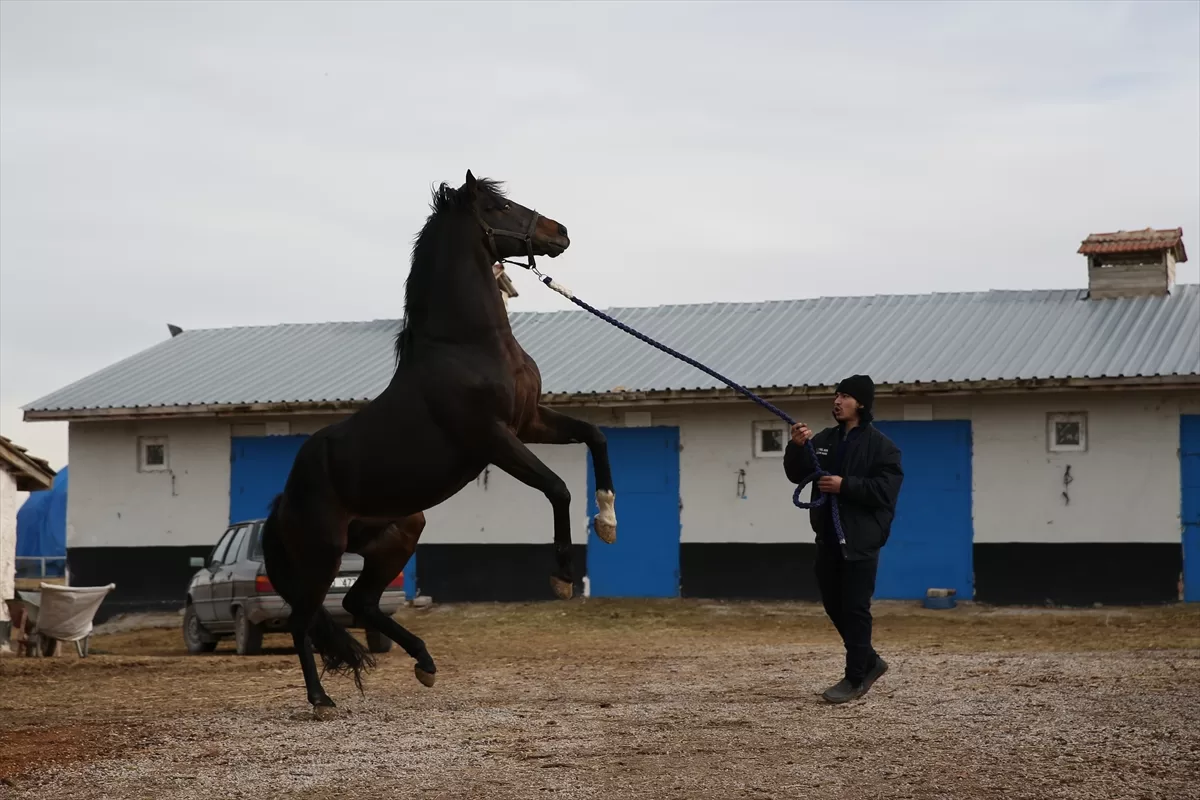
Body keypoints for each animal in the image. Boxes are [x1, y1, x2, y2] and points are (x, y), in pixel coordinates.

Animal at [262, 172, 619, 710]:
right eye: (499, 206)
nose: (560, 231)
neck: (469, 346)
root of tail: (283, 499)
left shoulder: (530, 422)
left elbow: (595, 437)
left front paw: (608, 520)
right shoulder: (495, 440)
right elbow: (557, 488)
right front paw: (561, 576)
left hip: (399, 535)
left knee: (359, 602)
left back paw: (424, 663)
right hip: (323, 557)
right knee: (302, 621)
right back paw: (321, 700)